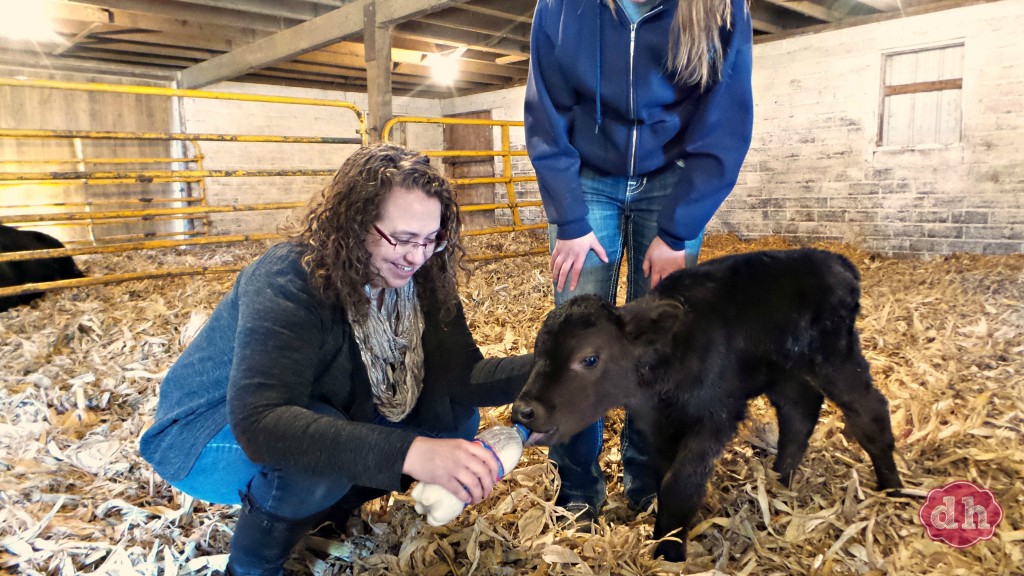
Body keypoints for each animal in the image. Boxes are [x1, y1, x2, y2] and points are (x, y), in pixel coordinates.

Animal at [512, 248, 905, 561]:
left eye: (590, 359)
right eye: (538, 351)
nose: (524, 410)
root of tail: (837, 262)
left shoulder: (715, 418)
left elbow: (680, 483)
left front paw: (669, 552)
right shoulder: (661, 425)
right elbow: (665, 476)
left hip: (835, 356)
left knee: (869, 410)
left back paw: (893, 488)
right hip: (784, 370)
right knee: (800, 410)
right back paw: (780, 479)